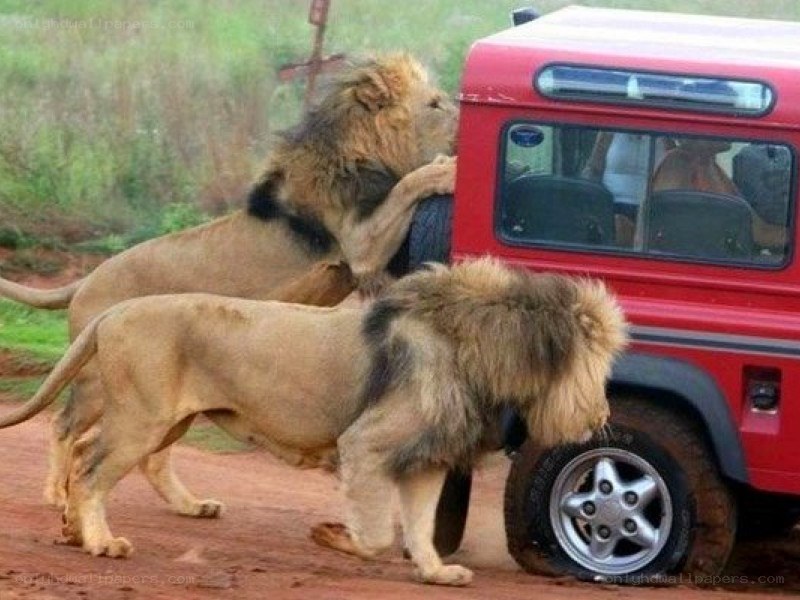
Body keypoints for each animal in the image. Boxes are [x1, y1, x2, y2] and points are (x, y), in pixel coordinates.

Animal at [0, 53, 457, 510]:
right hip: (97, 380)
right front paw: (446, 171)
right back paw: (57, 495)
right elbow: (408, 184)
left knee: (149, 456)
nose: (460, 114)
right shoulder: (360, 243)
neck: (363, 148)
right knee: (65, 425)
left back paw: (190, 506)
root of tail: (85, 280)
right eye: (435, 104)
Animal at [0, 258, 627, 586]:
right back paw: (99, 541)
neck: (478, 351)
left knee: (114, 461)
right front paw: (332, 536)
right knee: (89, 467)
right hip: (141, 418)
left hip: (168, 418)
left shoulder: (426, 459)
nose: (601, 414)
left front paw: (435, 573)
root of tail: (114, 310)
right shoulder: (366, 444)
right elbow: (376, 534)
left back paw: (87, 526)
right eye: (597, 363)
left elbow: (420, 527)